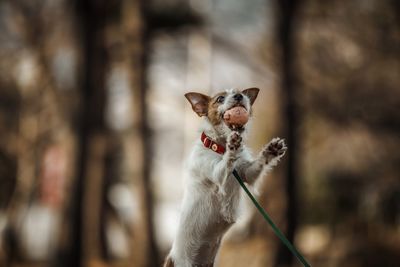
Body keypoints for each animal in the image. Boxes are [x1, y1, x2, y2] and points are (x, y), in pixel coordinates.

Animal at [164, 89, 286, 266]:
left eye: (242, 93)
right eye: (220, 98)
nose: (239, 96)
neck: (219, 146)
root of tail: (171, 259)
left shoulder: (246, 173)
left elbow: (256, 165)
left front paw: (271, 151)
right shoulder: (217, 173)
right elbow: (226, 162)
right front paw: (233, 146)